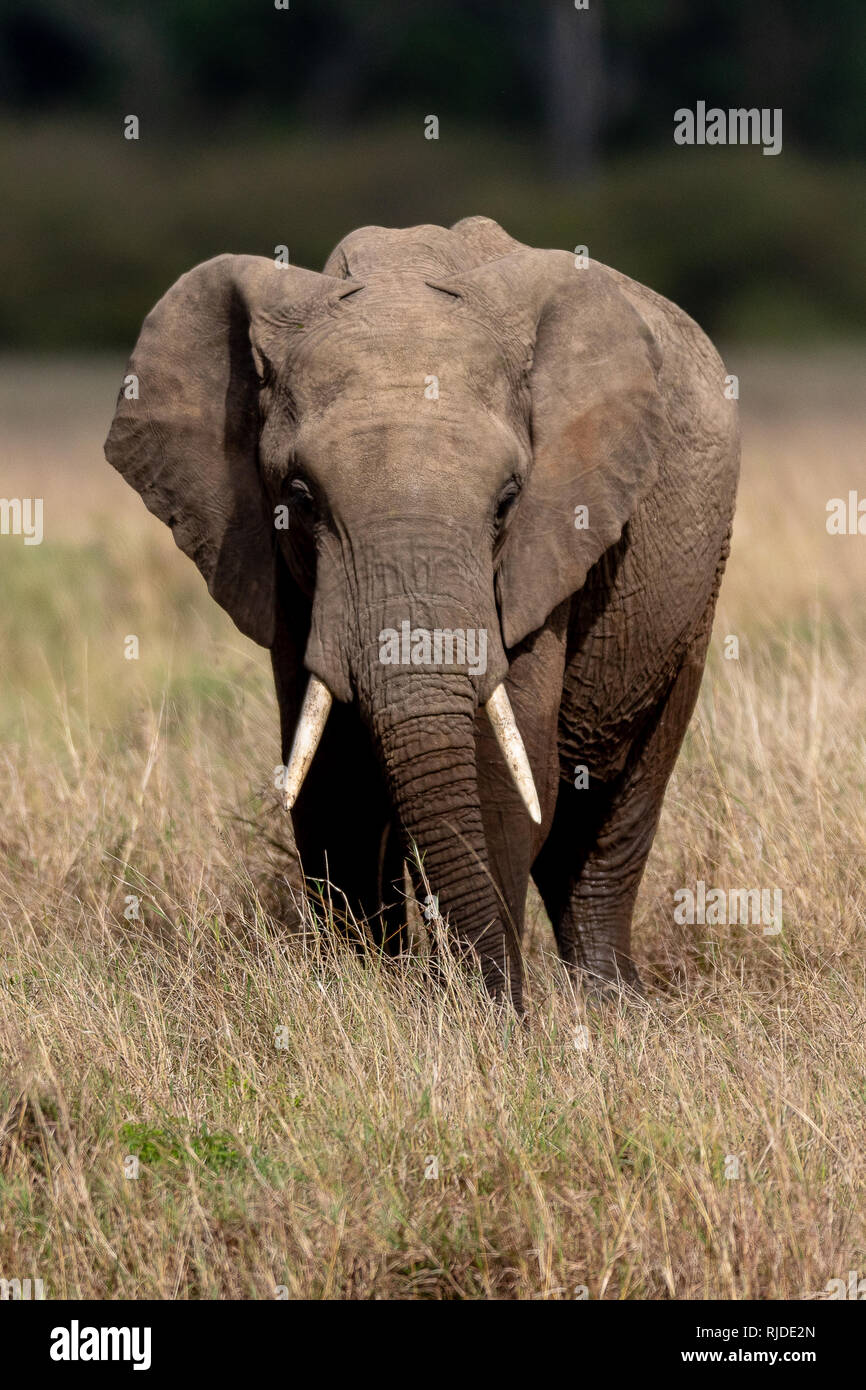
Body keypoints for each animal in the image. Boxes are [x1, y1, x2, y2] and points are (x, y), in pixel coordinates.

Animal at [101, 222, 739, 1017]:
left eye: (508, 501)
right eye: (300, 497)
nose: (500, 1009)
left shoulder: (544, 550)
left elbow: (504, 775)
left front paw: (485, 1021)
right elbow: (330, 778)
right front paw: (367, 995)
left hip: (696, 589)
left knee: (615, 811)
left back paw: (615, 1011)